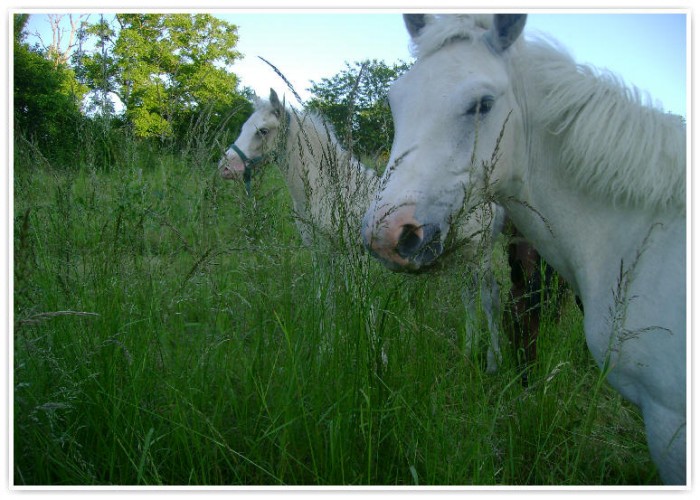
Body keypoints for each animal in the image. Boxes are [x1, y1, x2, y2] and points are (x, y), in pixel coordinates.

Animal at [219, 89, 504, 372]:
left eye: (263, 131)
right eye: (244, 127)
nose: (225, 167)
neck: (330, 188)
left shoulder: (354, 256)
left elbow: (361, 299)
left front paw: (377, 358)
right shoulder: (322, 254)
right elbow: (325, 299)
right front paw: (325, 351)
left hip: (480, 255)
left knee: (488, 298)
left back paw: (493, 362)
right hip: (462, 256)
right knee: (469, 297)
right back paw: (467, 353)